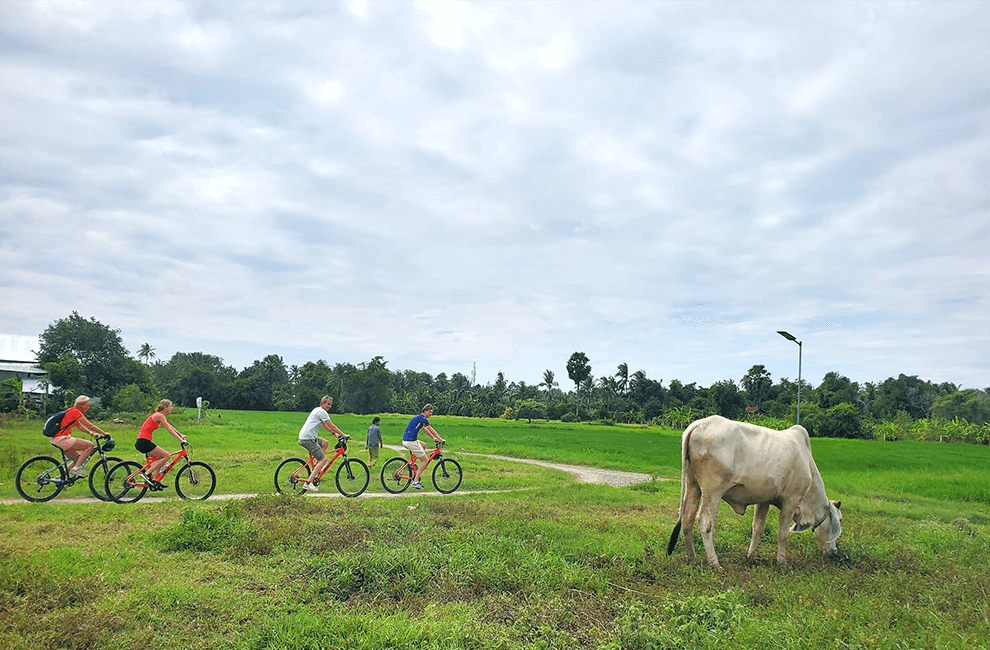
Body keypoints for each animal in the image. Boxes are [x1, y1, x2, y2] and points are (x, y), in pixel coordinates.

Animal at [668, 412, 844, 564]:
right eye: (839, 519)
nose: (834, 551)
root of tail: (699, 424)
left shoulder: (764, 500)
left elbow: (758, 527)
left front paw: (752, 555)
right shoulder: (790, 501)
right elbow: (783, 533)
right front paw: (782, 561)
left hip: (693, 485)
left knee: (687, 518)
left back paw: (692, 557)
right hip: (713, 491)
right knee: (705, 522)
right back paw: (714, 563)